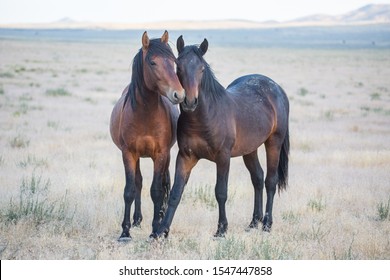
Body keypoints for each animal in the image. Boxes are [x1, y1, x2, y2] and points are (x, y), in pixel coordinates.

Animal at [108, 31, 184, 241]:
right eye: (152, 62)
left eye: (173, 61)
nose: (179, 94)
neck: (144, 114)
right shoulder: (128, 153)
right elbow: (130, 190)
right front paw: (125, 231)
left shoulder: (161, 154)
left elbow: (157, 191)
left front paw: (155, 229)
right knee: (139, 183)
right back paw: (137, 220)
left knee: (164, 183)